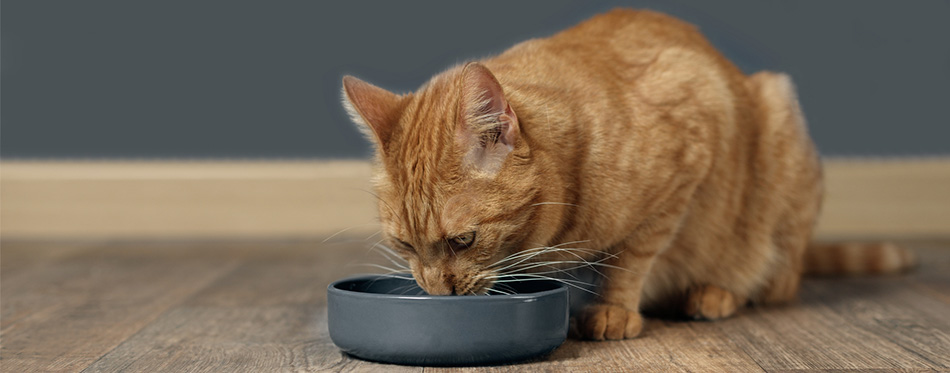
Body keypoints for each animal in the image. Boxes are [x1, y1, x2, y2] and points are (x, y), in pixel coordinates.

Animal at [342, 8, 916, 340]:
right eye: (405, 245)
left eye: (463, 241)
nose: (439, 295)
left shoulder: (689, 149)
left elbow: (633, 256)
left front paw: (613, 309)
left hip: (780, 127)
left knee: (774, 282)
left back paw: (715, 293)